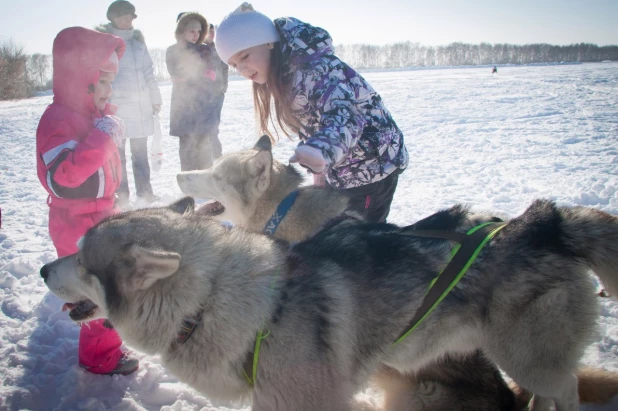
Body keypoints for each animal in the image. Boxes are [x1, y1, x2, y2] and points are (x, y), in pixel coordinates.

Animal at [41, 195, 616, 411]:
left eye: (82, 260)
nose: (46, 270)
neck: (209, 302)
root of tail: (546, 221)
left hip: (531, 361)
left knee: (565, 390)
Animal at [174, 137, 616, 410]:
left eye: (215, 174)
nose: (179, 175)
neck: (286, 213)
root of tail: (548, 224)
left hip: (526, 359)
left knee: (567, 388)